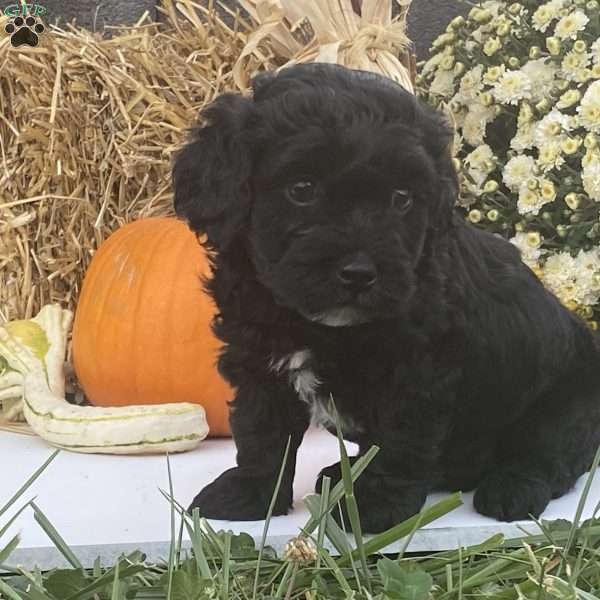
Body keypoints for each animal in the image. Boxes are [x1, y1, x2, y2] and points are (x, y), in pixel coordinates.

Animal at [172, 63, 600, 532]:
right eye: (302, 189)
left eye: (402, 199)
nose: (359, 274)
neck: (317, 325)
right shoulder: (258, 359)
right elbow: (262, 430)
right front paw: (252, 494)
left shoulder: (416, 372)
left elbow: (398, 442)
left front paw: (371, 508)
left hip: (569, 400)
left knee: (549, 451)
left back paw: (513, 488)